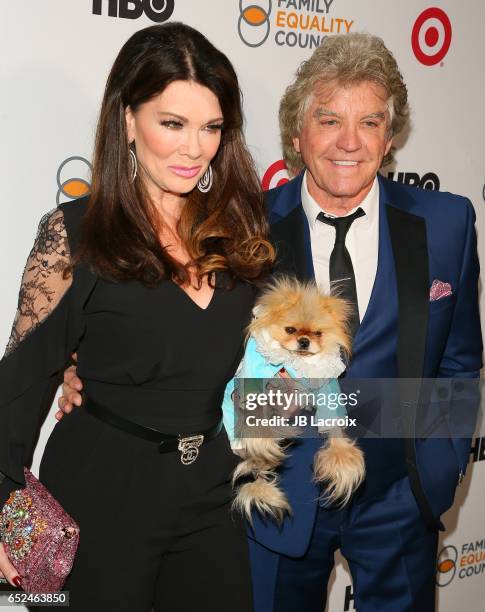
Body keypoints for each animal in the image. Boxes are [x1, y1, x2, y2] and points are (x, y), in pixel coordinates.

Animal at [231, 278, 364, 520]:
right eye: (290, 330)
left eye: (318, 333)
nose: (303, 341)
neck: (295, 363)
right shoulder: (255, 383)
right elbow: (255, 414)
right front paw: (263, 441)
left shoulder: (327, 390)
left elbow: (334, 427)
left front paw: (341, 459)